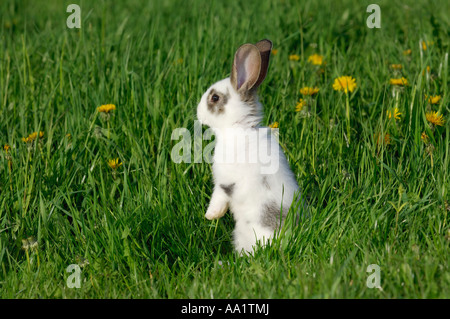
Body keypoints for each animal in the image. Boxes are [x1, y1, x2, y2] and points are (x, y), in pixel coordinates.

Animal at [197, 39, 302, 255]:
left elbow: (218, 196)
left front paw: (211, 215)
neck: (239, 127)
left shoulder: (225, 182)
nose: (198, 113)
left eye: (214, 98)